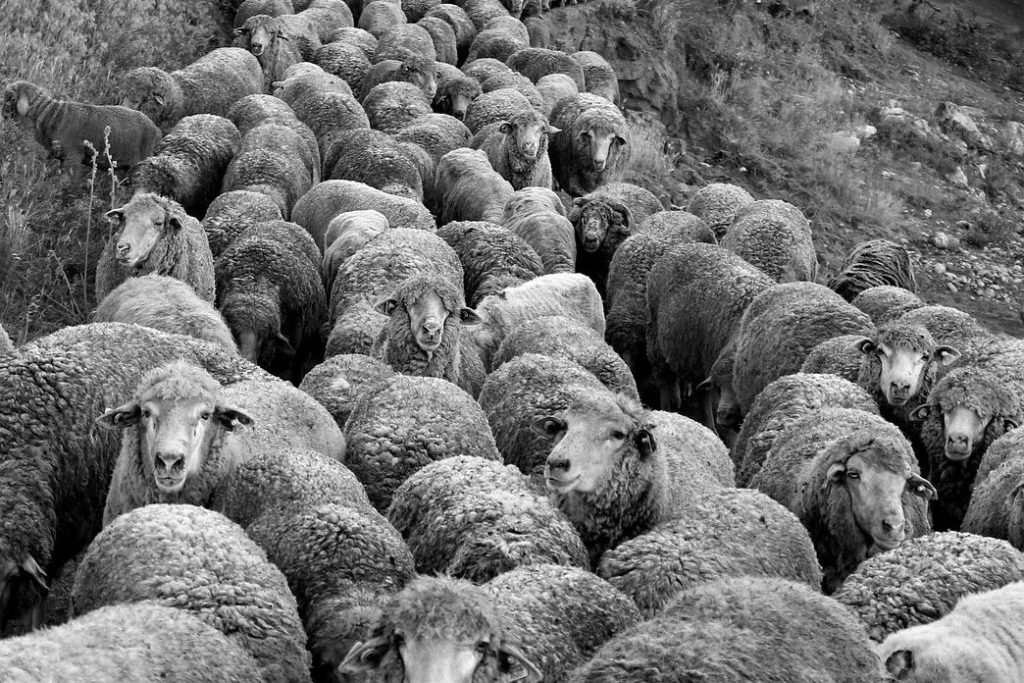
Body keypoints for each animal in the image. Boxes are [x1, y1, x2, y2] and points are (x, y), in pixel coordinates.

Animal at [2, 80, 160, 177]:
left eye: (12, 98)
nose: (3, 115)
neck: (52, 114)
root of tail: (155, 128)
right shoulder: (57, 155)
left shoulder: (73, 156)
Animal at [644, 242, 772, 415]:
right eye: (719, 387)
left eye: (739, 387)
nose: (724, 413)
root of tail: (679, 247)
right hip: (657, 344)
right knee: (666, 383)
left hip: (694, 358)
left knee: (699, 392)